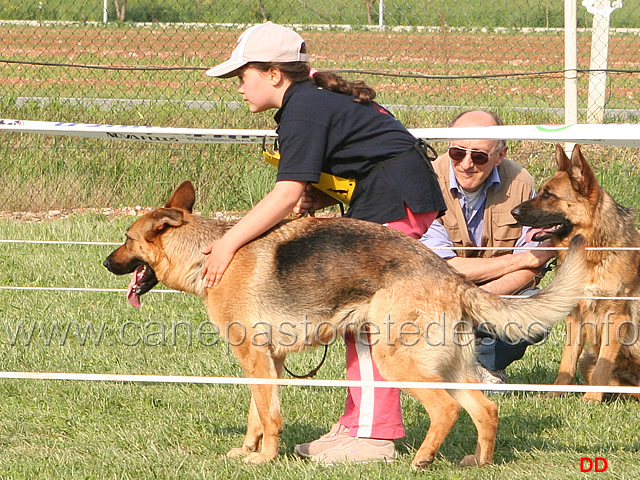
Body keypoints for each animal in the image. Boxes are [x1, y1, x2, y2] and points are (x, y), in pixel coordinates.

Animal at [102, 181, 588, 468]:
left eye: (126, 239)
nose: (106, 262)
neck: (206, 254)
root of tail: (450, 275)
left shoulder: (255, 359)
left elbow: (268, 416)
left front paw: (264, 460)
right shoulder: (267, 363)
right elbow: (257, 414)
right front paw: (248, 450)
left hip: (398, 362)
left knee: (446, 409)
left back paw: (421, 461)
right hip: (450, 366)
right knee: (485, 408)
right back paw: (479, 463)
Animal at [512, 144, 640, 404]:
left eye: (549, 195)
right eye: (542, 192)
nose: (514, 212)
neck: (592, 252)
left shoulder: (615, 318)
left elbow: (603, 365)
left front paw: (591, 399)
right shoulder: (575, 317)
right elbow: (566, 362)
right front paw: (554, 395)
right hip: (587, 361)